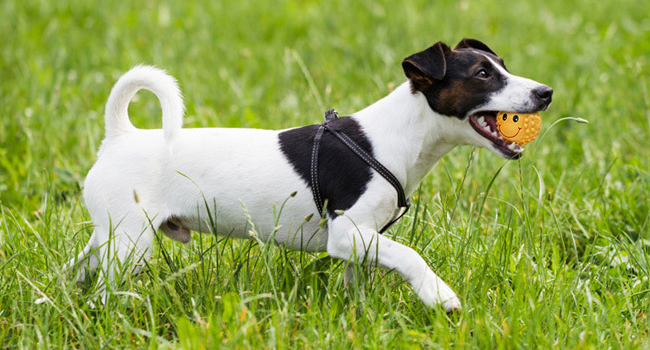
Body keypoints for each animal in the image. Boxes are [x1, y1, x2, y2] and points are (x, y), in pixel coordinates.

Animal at [64, 39, 552, 312]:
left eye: (502, 65)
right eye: (483, 74)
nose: (545, 92)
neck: (398, 136)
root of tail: (119, 135)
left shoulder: (363, 241)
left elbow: (366, 278)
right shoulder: (348, 234)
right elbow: (411, 256)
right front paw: (439, 295)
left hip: (110, 237)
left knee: (79, 269)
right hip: (131, 243)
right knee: (105, 288)